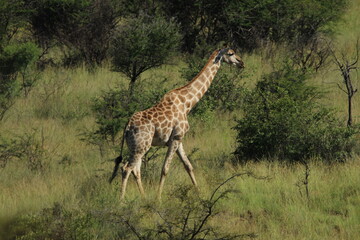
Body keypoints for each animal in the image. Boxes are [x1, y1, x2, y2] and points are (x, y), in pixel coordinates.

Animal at [109, 47, 245, 200]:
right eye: (231, 53)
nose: (242, 63)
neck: (187, 104)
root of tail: (127, 127)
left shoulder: (178, 140)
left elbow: (188, 165)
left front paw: (199, 194)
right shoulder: (176, 138)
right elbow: (165, 169)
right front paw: (158, 198)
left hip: (136, 146)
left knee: (135, 169)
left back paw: (143, 197)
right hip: (141, 146)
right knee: (126, 168)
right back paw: (121, 200)